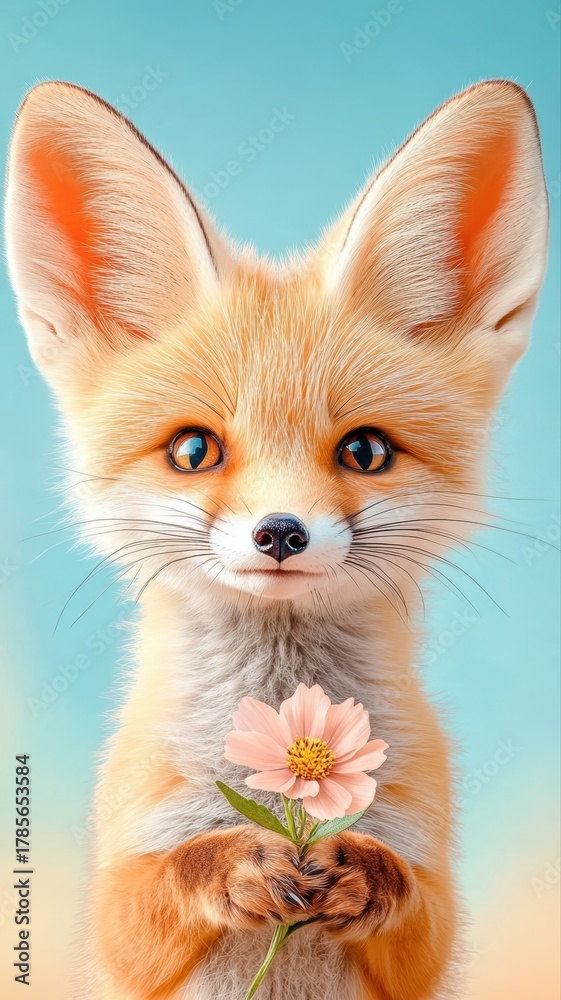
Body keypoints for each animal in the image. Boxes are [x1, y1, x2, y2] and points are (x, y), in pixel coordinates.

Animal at [5, 79, 548, 1000]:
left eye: (364, 451)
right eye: (194, 450)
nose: (280, 533)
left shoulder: (429, 901)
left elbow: (417, 909)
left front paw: (363, 870)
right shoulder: (122, 894)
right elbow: (155, 890)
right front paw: (231, 862)